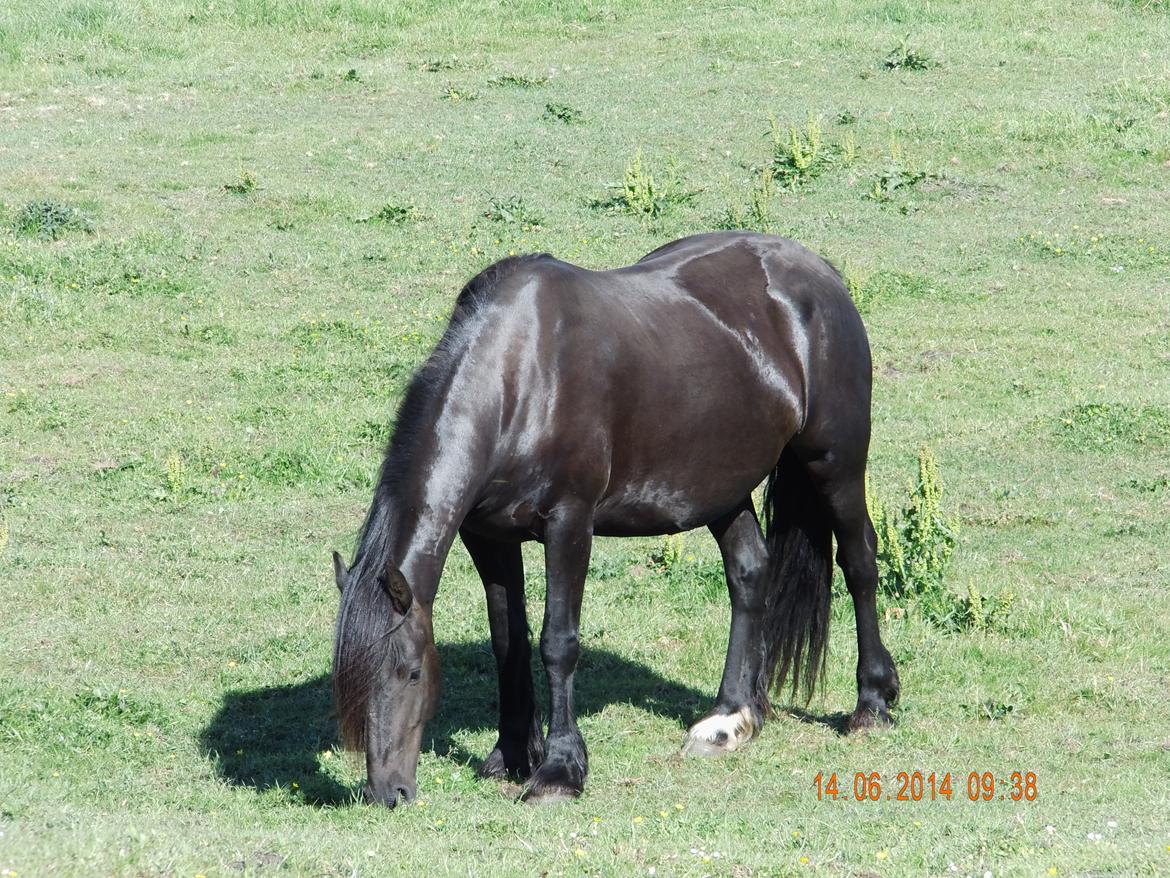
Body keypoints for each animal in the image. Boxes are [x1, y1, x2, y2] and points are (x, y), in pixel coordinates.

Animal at [334, 230, 898, 810]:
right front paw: (510, 754)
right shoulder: (488, 537)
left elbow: (558, 643)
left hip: (834, 463)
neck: (522, 377)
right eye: (346, 681)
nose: (387, 792)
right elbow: (507, 641)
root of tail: (820, 272)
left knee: (859, 560)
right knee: (749, 573)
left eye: (410, 672)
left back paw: (872, 703)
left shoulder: (569, 524)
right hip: (724, 487)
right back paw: (730, 718)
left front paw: (559, 771)